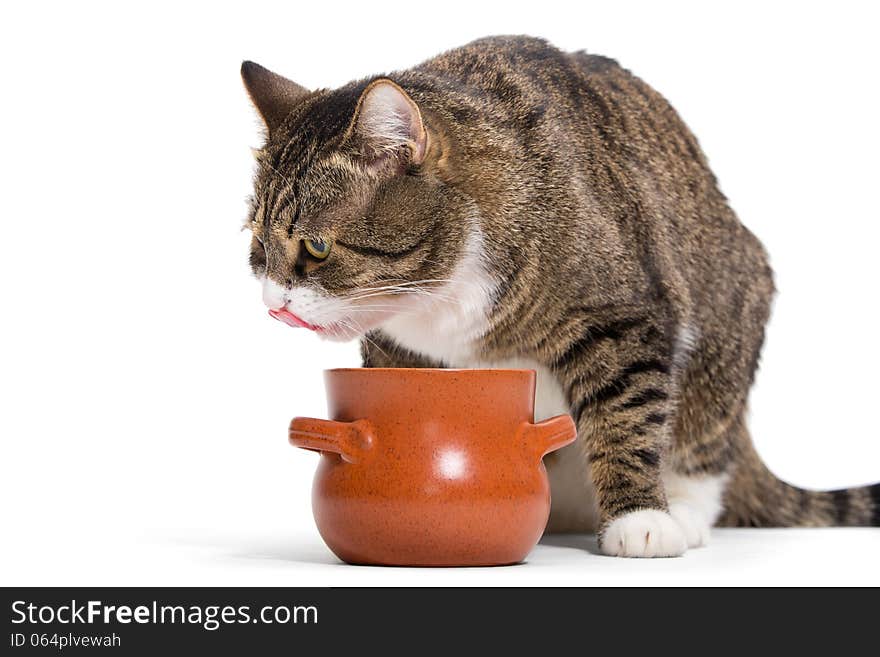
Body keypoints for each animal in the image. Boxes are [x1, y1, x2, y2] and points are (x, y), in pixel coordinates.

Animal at [241, 36, 880, 556]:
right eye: (258, 246)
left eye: (317, 246)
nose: (274, 304)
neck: (441, 296)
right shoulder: (399, 352)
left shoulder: (622, 315)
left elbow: (627, 415)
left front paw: (641, 519)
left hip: (727, 330)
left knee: (701, 448)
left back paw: (682, 509)